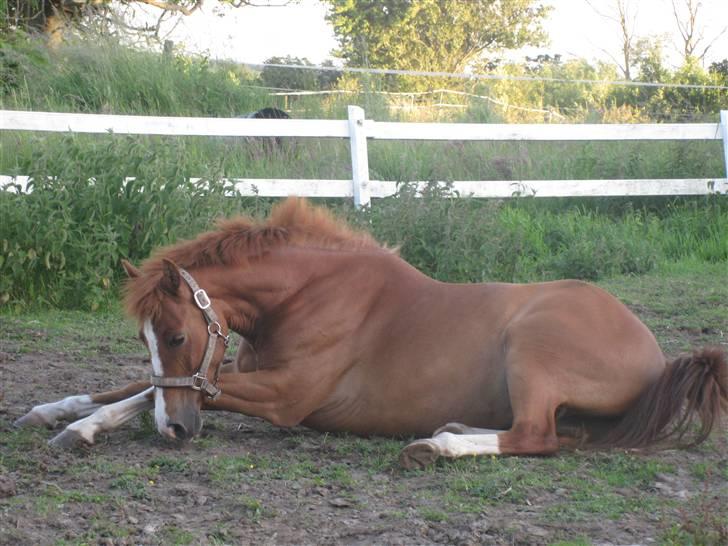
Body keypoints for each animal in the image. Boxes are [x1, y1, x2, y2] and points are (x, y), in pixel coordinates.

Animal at [15, 198, 728, 466]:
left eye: (176, 335)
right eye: (148, 339)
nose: (177, 432)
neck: (306, 294)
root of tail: (658, 354)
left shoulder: (285, 396)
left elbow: (164, 392)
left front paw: (84, 429)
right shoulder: (237, 373)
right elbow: (133, 388)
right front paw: (57, 413)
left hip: (533, 347)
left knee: (537, 437)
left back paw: (435, 446)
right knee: (562, 435)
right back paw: (451, 428)